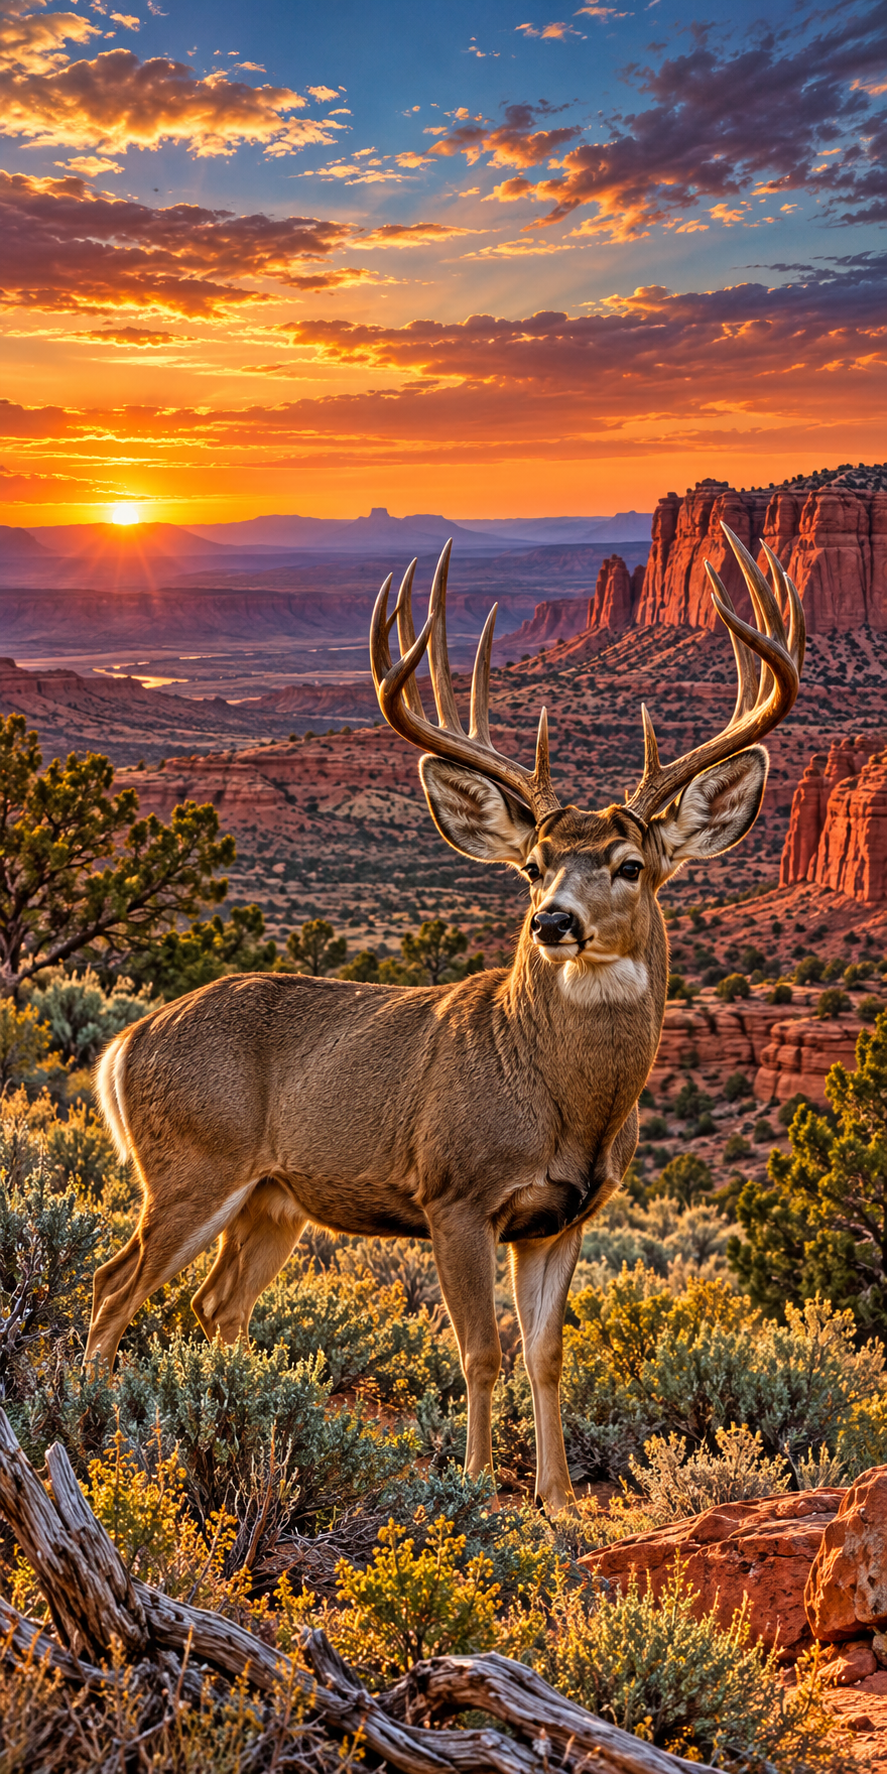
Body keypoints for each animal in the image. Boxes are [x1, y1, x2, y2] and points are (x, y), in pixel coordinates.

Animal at [86, 523, 804, 1515]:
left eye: (629, 865)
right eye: (534, 865)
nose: (553, 922)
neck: (564, 1105)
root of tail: (121, 1045)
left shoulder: (565, 1216)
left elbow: (545, 1354)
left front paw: (556, 1498)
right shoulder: (453, 1193)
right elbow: (480, 1350)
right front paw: (472, 1487)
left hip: (273, 1197)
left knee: (213, 1305)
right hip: (192, 1161)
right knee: (111, 1286)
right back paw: (86, 1420)